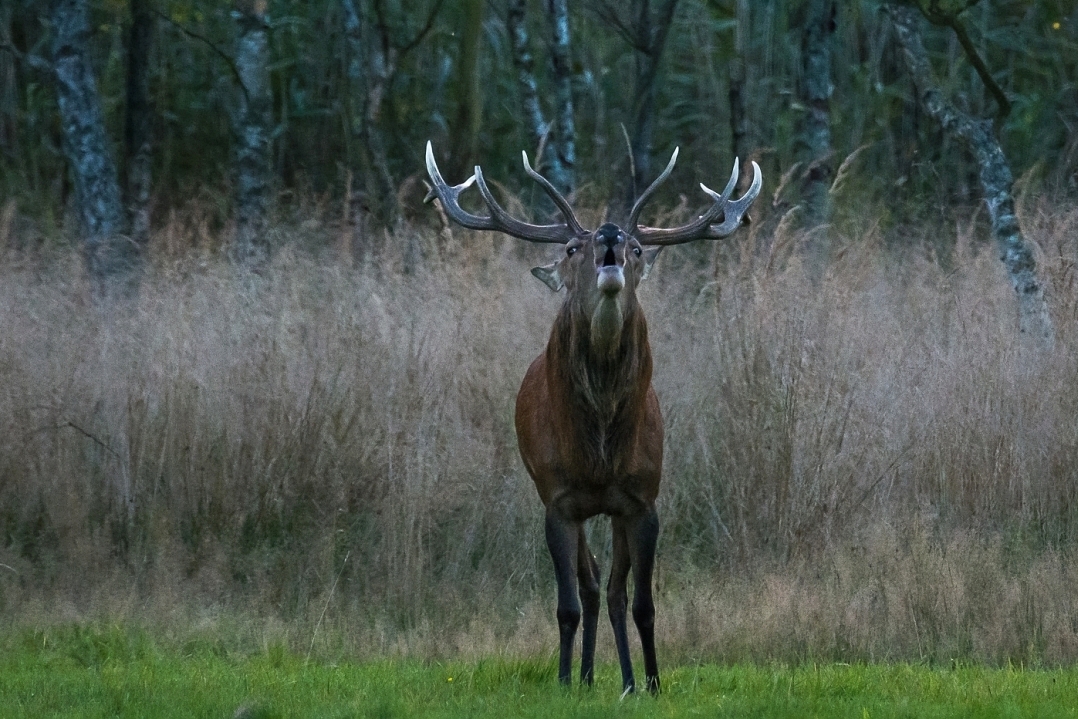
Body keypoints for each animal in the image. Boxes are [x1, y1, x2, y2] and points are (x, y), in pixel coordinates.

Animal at [424, 137, 763, 694]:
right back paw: (584, 677)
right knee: (591, 583)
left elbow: (642, 603)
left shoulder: (643, 499)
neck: (601, 452)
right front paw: (564, 679)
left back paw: (623, 680)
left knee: (614, 589)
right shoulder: (558, 500)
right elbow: (568, 602)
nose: (608, 235)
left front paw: (652, 683)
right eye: (570, 249)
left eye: (638, 248)